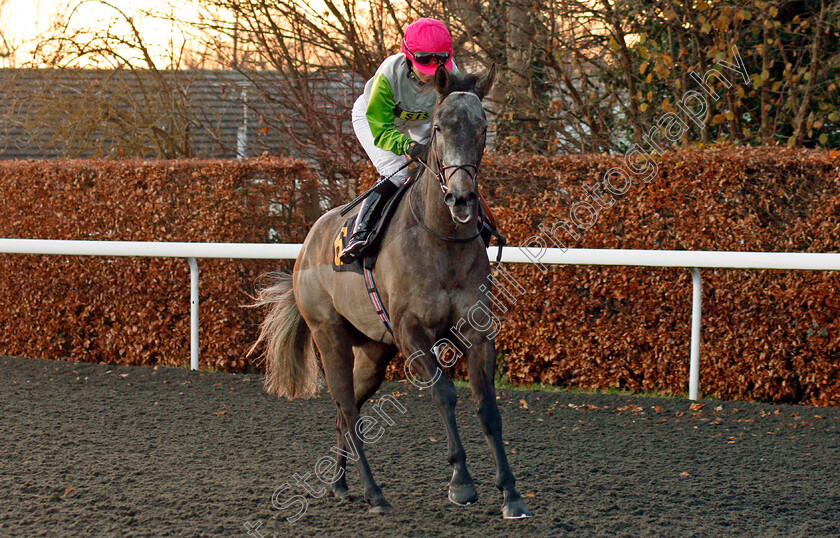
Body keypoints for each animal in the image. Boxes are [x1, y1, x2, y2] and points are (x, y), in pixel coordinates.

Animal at [251, 63, 532, 520]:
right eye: (437, 127)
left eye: (483, 128)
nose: (462, 198)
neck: (440, 238)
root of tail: (307, 242)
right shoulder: (410, 330)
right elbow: (444, 393)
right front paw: (461, 483)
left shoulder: (477, 330)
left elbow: (487, 405)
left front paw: (510, 492)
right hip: (329, 334)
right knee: (347, 409)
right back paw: (373, 492)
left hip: (373, 350)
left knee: (344, 412)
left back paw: (341, 484)